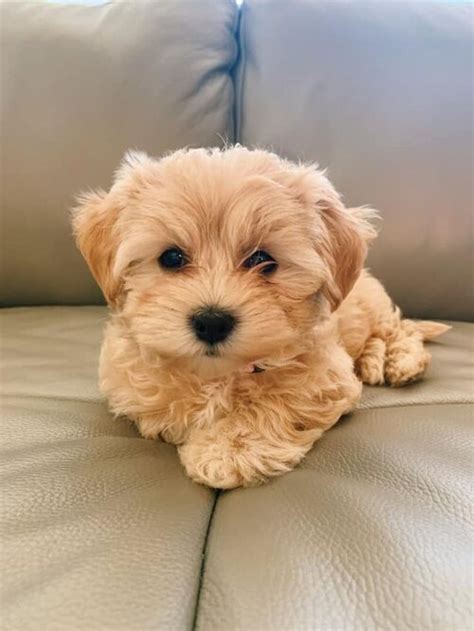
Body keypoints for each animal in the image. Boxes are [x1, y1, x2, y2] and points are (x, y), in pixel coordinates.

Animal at [72, 147, 450, 488]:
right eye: (172, 257)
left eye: (262, 260)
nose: (212, 322)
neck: (219, 374)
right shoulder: (129, 385)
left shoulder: (325, 377)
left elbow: (277, 399)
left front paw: (229, 450)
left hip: (374, 307)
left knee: (399, 329)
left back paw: (399, 361)